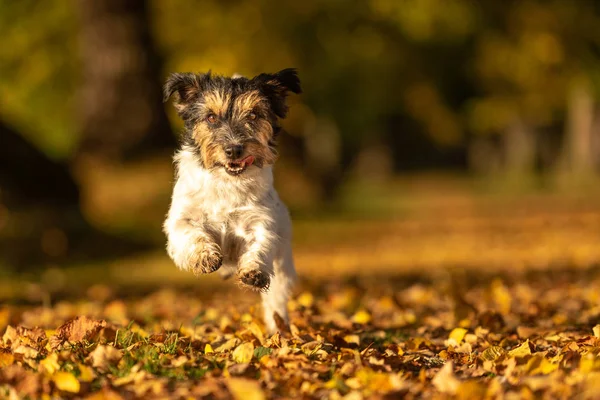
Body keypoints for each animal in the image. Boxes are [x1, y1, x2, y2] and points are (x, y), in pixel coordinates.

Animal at [162, 69, 300, 334]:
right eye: (211, 117)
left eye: (254, 115)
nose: (234, 149)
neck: (226, 182)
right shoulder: (181, 220)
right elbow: (193, 233)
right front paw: (205, 256)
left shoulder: (260, 222)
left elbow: (260, 245)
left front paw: (253, 270)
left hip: (283, 269)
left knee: (276, 300)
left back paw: (278, 329)